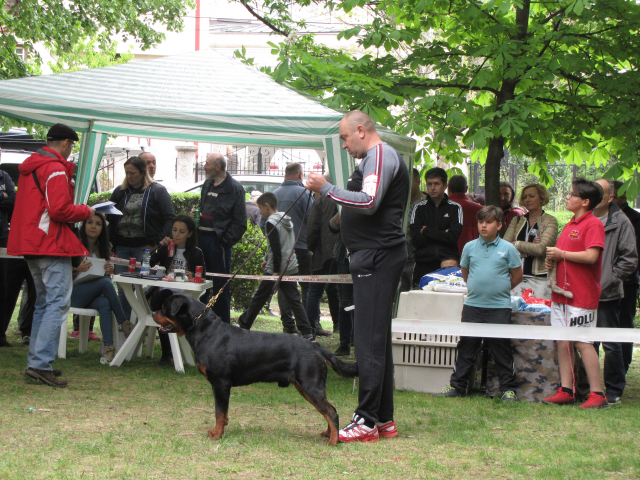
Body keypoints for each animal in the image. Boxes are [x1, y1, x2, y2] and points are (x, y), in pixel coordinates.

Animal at [152, 292, 358, 446]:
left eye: (164, 308)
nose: (153, 312)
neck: (205, 330)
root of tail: (316, 346)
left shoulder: (220, 383)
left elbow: (219, 412)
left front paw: (217, 434)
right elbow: (223, 413)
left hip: (310, 385)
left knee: (331, 412)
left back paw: (333, 441)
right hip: (305, 386)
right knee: (329, 410)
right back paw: (328, 434)